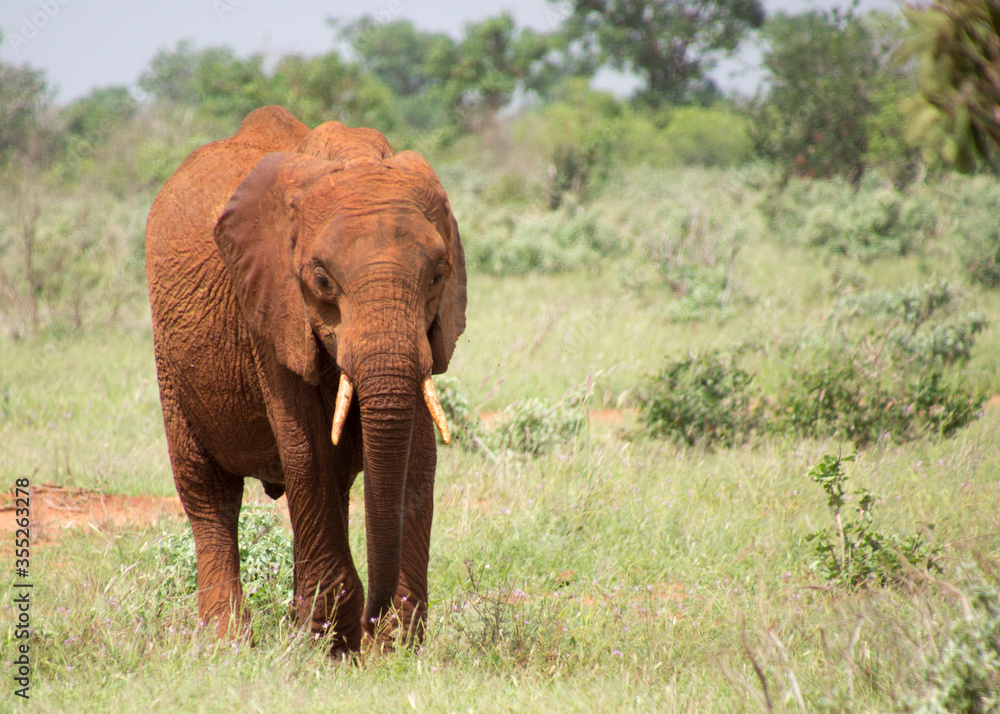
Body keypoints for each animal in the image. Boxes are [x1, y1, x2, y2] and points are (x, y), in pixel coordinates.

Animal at [146, 104, 466, 652]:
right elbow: (304, 450)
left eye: (439, 274)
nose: (375, 621)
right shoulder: (268, 306)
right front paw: (333, 646)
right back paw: (225, 643)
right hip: (171, 357)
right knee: (209, 494)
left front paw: (393, 647)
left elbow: (418, 455)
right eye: (321, 281)